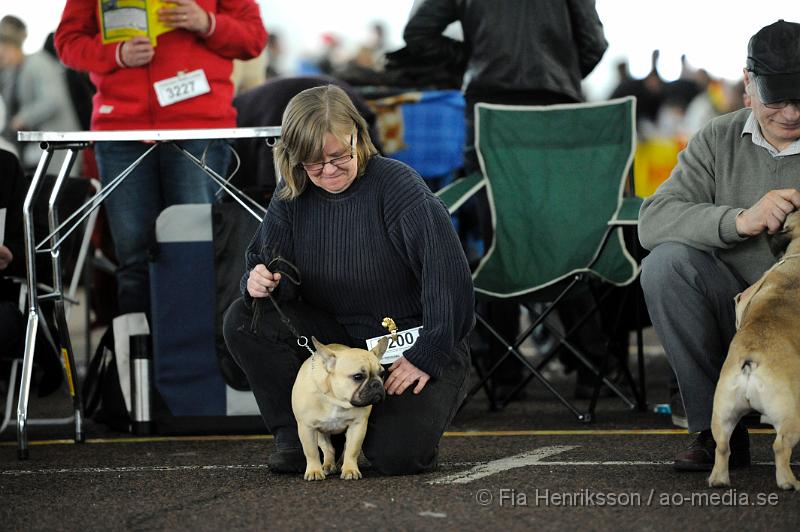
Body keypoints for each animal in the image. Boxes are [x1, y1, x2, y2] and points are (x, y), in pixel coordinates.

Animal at [290, 336, 388, 482]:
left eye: (382, 374)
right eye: (358, 377)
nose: (377, 384)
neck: (336, 399)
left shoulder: (357, 425)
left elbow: (352, 450)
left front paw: (350, 469)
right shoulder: (306, 428)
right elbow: (311, 452)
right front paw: (314, 471)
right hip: (320, 432)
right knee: (328, 448)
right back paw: (327, 465)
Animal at [708, 210, 800, 488]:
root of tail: (750, 363)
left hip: (723, 412)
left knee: (722, 446)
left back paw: (718, 479)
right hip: (791, 413)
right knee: (781, 447)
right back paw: (789, 482)